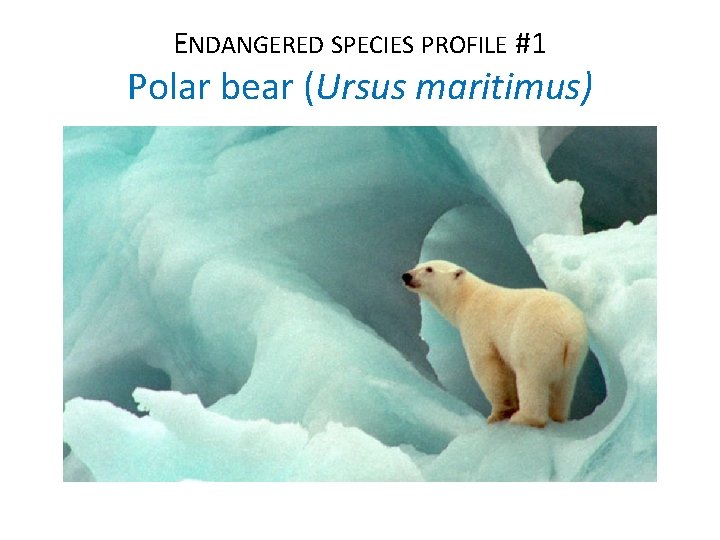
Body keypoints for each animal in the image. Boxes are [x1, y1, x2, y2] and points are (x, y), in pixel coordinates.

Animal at [402, 260, 588, 428]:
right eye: (417, 265)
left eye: (429, 269)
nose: (406, 275)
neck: (467, 297)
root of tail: (568, 331)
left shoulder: (479, 326)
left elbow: (489, 367)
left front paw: (498, 414)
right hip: (574, 356)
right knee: (564, 386)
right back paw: (558, 416)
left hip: (535, 341)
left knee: (531, 378)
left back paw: (523, 418)